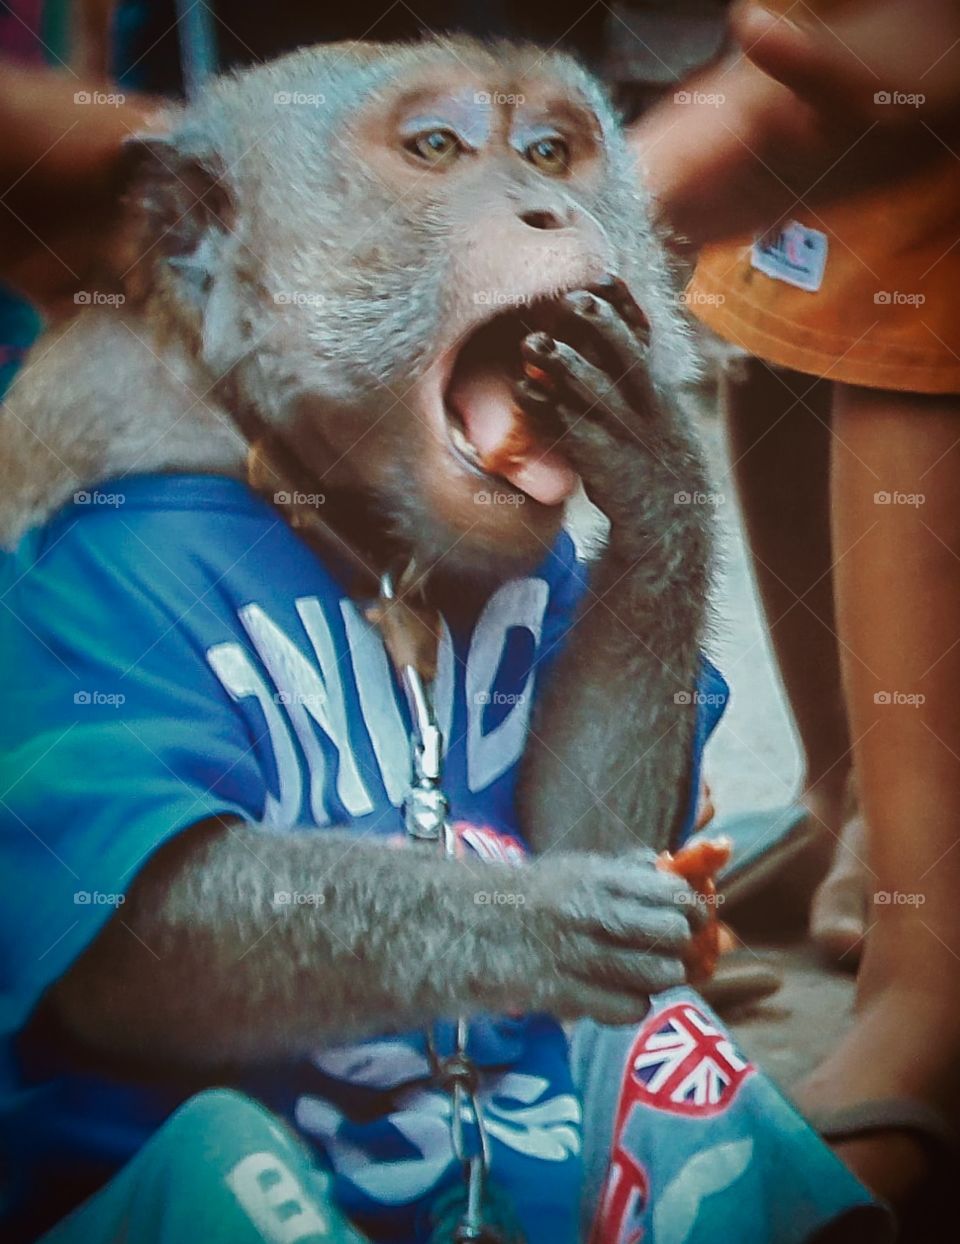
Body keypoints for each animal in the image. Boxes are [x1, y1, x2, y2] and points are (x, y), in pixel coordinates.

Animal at [0, 36, 719, 1243]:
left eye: (551, 150)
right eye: (435, 147)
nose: (549, 206)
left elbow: (585, 823)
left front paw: (650, 448)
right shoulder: (83, 560)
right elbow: (145, 930)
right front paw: (537, 917)